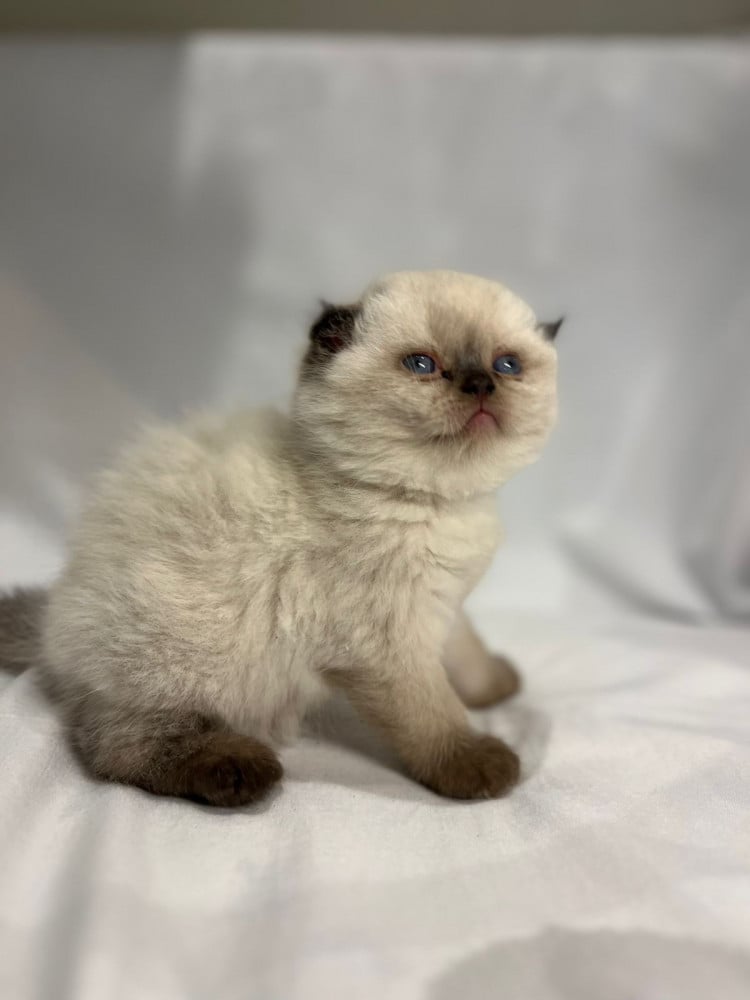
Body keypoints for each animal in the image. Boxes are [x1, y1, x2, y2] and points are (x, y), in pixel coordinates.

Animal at [0, 270, 560, 806]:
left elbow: (466, 654)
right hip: (184, 656)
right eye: (422, 364)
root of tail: (51, 625)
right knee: (115, 747)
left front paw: (498, 686)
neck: (443, 504)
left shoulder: (443, 603)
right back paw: (238, 772)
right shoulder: (386, 646)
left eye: (507, 365)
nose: (480, 383)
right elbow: (433, 716)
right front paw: (479, 765)